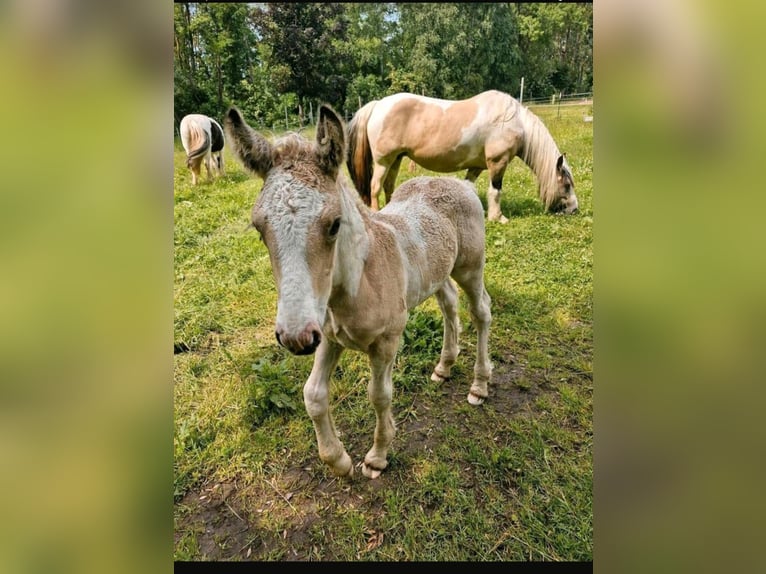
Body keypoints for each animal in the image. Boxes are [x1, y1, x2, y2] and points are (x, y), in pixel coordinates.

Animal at [224, 104, 493, 479]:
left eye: (334, 224)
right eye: (259, 228)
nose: (294, 337)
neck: (353, 287)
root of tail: (460, 183)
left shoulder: (386, 342)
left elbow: (379, 395)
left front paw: (377, 457)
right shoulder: (327, 337)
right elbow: (313, 394)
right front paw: (338, 460)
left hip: (470, 267)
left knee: (481, 310)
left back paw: (479, 386)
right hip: (437, 273)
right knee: (449, 303)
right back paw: (444, 366)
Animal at [347, 89, 579, 223]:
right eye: (567, 185)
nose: (575, 210)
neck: (515, 122)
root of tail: (378, 104)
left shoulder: (476, 167)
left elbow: (469, 188)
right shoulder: (498, 163)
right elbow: (495, 192)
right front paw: (497, 217)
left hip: (396, 159)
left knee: (389, 186)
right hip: (383, 161)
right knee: (375, 187)